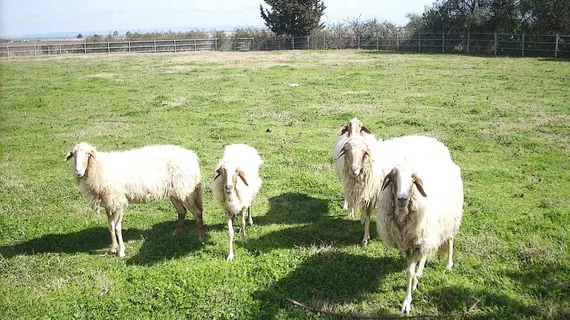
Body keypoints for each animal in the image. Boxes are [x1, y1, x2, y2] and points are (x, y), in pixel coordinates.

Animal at [64, 142, 204, 258]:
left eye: (88, 154)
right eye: (73, 154)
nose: (78, 171)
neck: (99, 167)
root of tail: (192, 156)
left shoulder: (119, 201)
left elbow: (117, 228)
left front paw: (121, 251)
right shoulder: (109, 203)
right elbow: (110, 226)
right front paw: (113, 249)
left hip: (186, 189)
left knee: (197, 212)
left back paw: (200, 237)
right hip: (175, 192)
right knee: (182, 211)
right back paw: (175, 234)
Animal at [374, 161, 464, 314]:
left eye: (413, 180)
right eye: (393, 177)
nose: (402, 199)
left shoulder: (416, 243)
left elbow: (410, 272)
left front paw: (407, 303)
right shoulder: (409, 243)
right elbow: (410, 270)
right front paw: (413, 285)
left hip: (450, 220)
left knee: (450, 240)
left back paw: (448, 264)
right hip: (428, 233)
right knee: (425, 253)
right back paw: (420, 273)